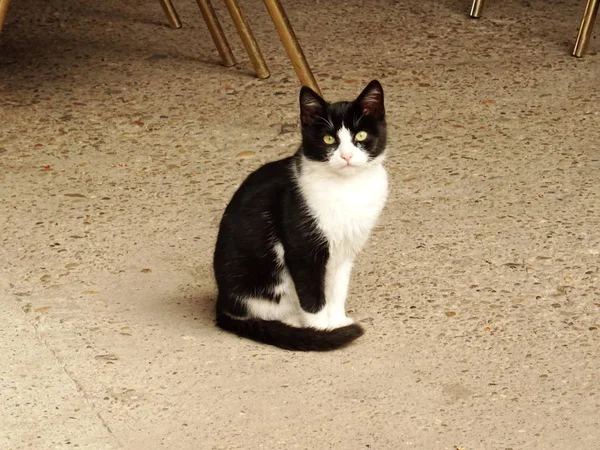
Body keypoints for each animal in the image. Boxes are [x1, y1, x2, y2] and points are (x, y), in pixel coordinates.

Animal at [212, 79, 390, 350]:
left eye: (360, 135)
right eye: (328, 139)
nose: (346, 156)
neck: (348, 189)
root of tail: (222, 302)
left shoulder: (346, 249)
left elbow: (337, 289)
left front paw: (337, 321)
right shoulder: (302, 250)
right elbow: (312, 295)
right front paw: (322, 332)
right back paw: (293, 324)